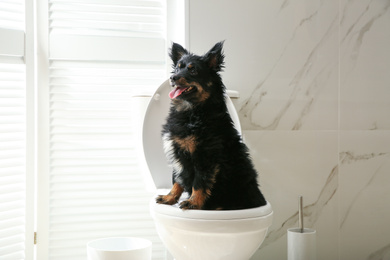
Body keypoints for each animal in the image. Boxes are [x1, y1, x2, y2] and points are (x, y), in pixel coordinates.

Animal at [155, 41, 268, 210]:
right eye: (177, 68)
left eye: (193, 70)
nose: (172, 77)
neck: (193, 111)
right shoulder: (178, 152)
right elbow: (176, 179)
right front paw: (170, 198)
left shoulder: (205, 155)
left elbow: (199, 183)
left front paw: (193, 202)